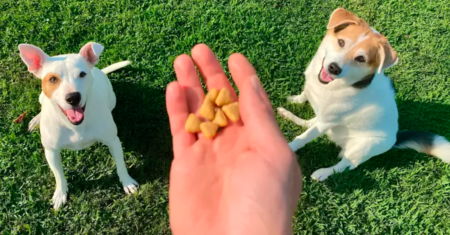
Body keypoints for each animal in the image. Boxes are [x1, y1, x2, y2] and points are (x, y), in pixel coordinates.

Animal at [19, 42, 138, 209]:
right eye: (53, 79)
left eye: (82, 74)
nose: (73, 97)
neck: (74, 125)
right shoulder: (51, 151)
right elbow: (59, 175)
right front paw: (60, 194)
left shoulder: (113, 141)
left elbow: (120, 165)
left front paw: (127, 182)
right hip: (41, 96)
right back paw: (37, 119)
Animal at [278, 8, 450, 181]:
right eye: (341, 42)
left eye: (361, 58)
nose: (334, 68)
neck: (336, 84)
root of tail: (395, 138)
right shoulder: (319, 109)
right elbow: (304, 95)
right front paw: (295, 100)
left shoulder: (326, 122)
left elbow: (302, 138)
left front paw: (288, 150)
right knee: (308, 124)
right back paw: (288, 114)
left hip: (360, 148)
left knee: (345, 165)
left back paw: (323, 173)